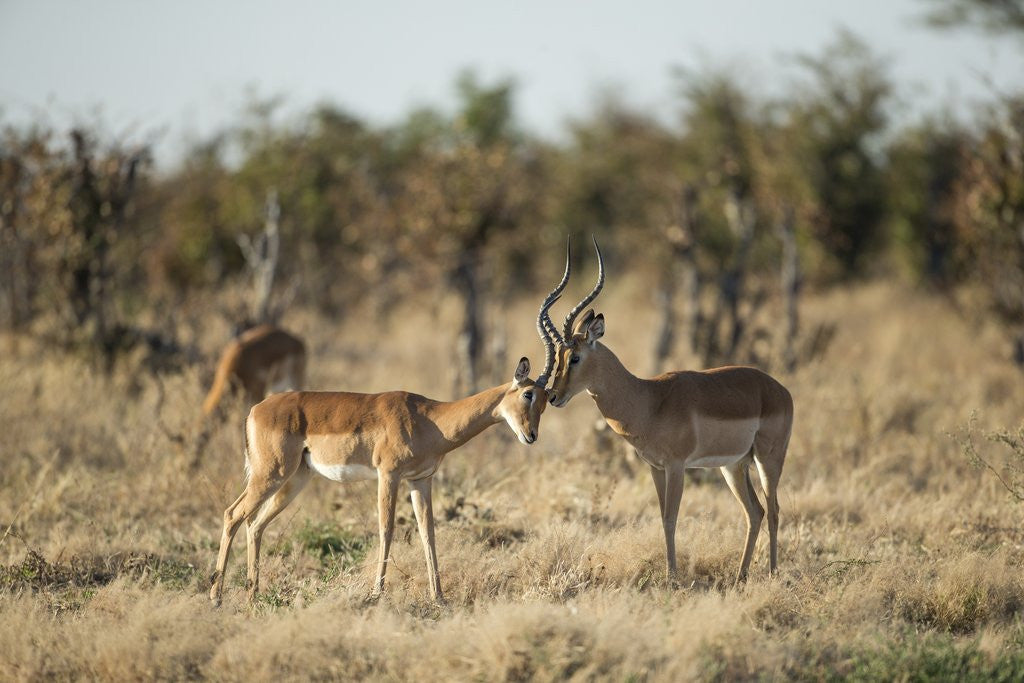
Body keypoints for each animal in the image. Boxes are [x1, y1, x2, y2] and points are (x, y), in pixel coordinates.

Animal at [209, 295, 562, 606]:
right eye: (529, 394)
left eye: (547, 400)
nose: (531, 435)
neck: (429, 418)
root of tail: (255, 410)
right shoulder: (388, 474)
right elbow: (386, 529)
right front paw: (377, 593)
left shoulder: (421, 479)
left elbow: (428, 533)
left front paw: (439, 597)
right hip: (271, 474)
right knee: (232, 514)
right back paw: (216, 597)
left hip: (295, 478)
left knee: (255, 524)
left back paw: (252, 597)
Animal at [543, 240, 793, 585]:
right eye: (559, 357)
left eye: (575, 356)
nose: (553, 396)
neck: (648, 400)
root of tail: (780, 390)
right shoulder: (655, 468)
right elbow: (662, 518)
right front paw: (669, 574)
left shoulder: (676, 466)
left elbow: (672, 518)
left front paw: (672, 578)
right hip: (733, 466)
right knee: (755, 512)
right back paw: (741, 576)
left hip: (768, 460)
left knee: (775, 510)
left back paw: (771, 573)